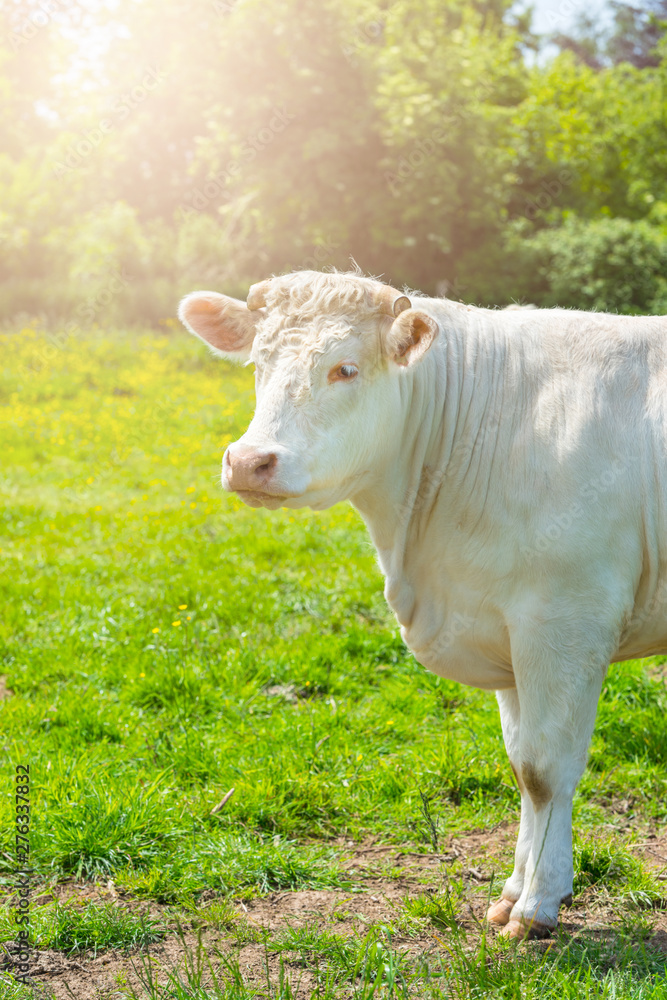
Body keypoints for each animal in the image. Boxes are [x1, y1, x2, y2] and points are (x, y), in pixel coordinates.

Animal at [179, 269, 667, 940]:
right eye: (257, 363)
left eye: (346, 369)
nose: (250, 461)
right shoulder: (503, 627)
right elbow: (521, 765)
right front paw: (512, 891)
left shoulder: (565, 621)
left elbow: (545, 770)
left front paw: (538, 905)